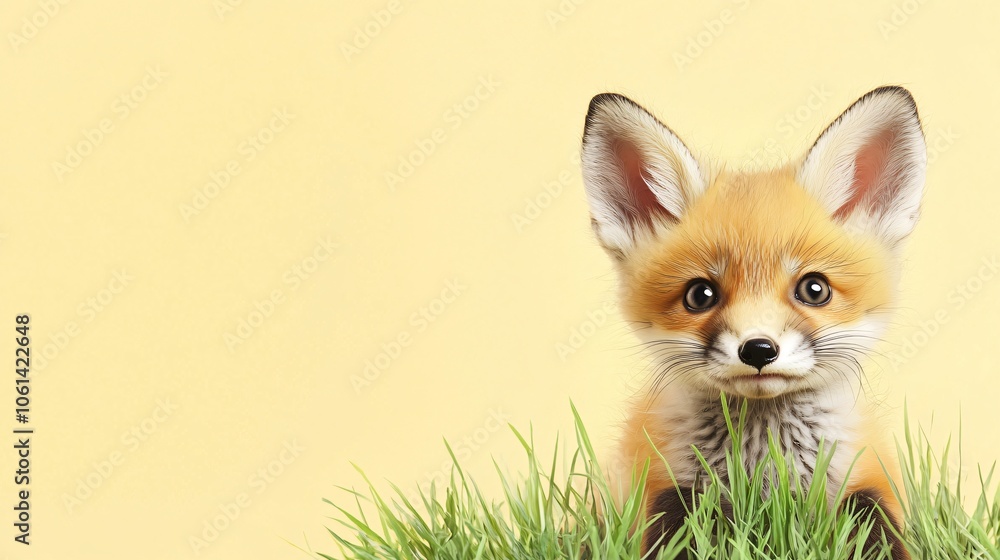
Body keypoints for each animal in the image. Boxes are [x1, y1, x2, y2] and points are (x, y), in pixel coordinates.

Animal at [580, 86, 926, 559]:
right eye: (700, 295)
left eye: (814, 289)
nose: (758, 349)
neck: (764, 477)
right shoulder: (649, 487)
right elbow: (677, 512)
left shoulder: (871, 476)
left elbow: (869, 512)